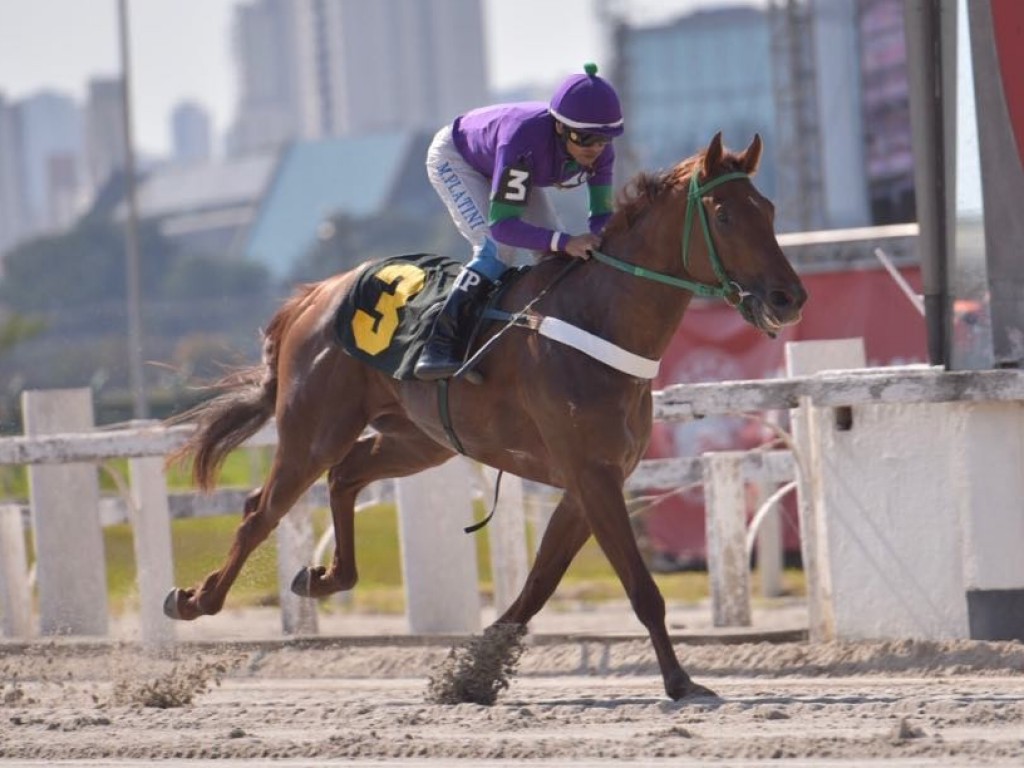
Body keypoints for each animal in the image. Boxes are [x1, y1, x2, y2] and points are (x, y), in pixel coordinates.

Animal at [161, 134, 806, 704]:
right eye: (725, 216)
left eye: (771, 209)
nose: (789, 298)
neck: (599, 321)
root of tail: (314, 295)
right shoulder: (592, 476)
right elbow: (642, 590)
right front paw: (680, 683)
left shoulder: (590, 481)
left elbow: (538, 585)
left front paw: (471, 675)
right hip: (313, 429)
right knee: (260, 511)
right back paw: (194, 601)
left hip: (419, 440)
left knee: (345, 476)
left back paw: (324, 577)